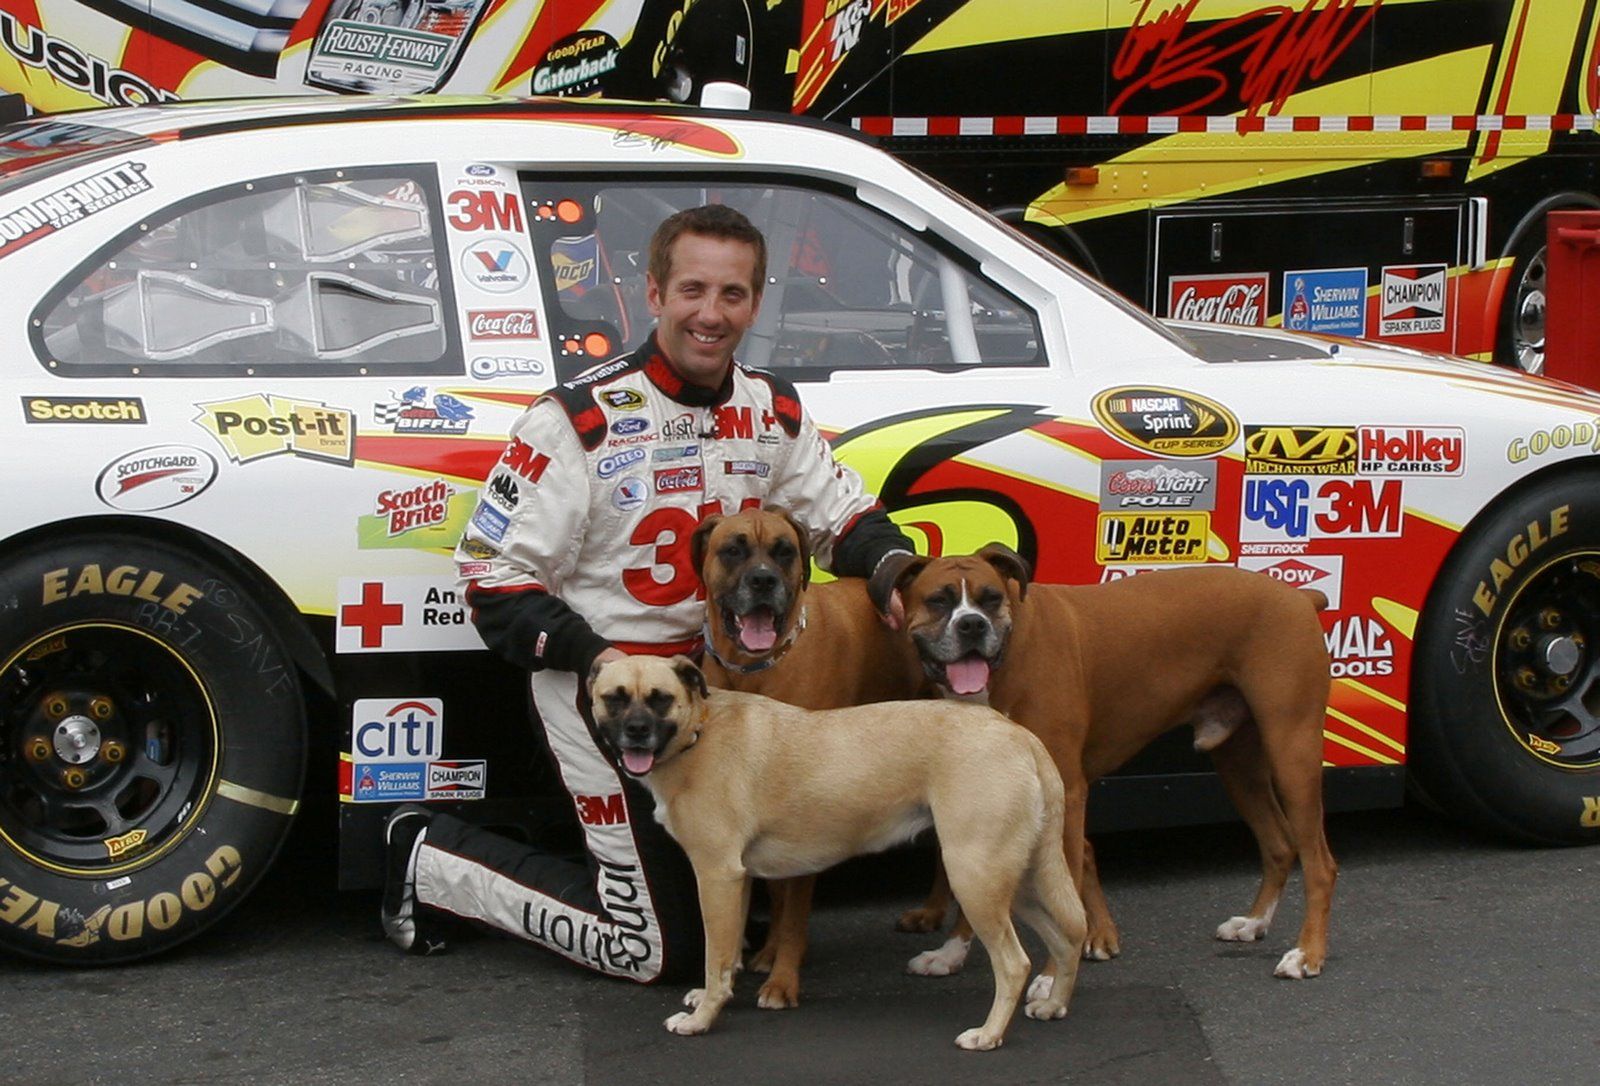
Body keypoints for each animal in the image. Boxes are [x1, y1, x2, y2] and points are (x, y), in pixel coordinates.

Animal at [588, 655, 1088, 1055]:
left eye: (660, 700)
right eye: (614, 699)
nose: (636, 733)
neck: (699, 729)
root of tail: (1018, 734)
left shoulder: (715, 876)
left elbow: (716, 955)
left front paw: (702, 1019)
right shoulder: (737, 879)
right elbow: (728, 957)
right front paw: (715, 996)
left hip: (976, 879)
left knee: (1015, 963)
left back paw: (989, 1034)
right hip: (1018, 880)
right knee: (1067, 938)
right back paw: (1054, 1004)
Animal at [684, 508, 928, 1010]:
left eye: (783, 551)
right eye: (733, 549)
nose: (762, 580)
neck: (755, 668)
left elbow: (794, 904)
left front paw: (783, 978)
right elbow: (774, 891)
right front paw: (767, 952)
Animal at [876, 546, 1337, 978]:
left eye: (991, 599)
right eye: (938, 601)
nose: (972, 624)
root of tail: (1298, 596)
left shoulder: (1066, 790)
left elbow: (1066, 890)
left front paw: (1050, 980)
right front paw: (951, 952)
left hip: (1292, 753)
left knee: (1320, 865)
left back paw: (1306, 954)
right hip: (1239, 767)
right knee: (1279, 845)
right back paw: (1254, 922)